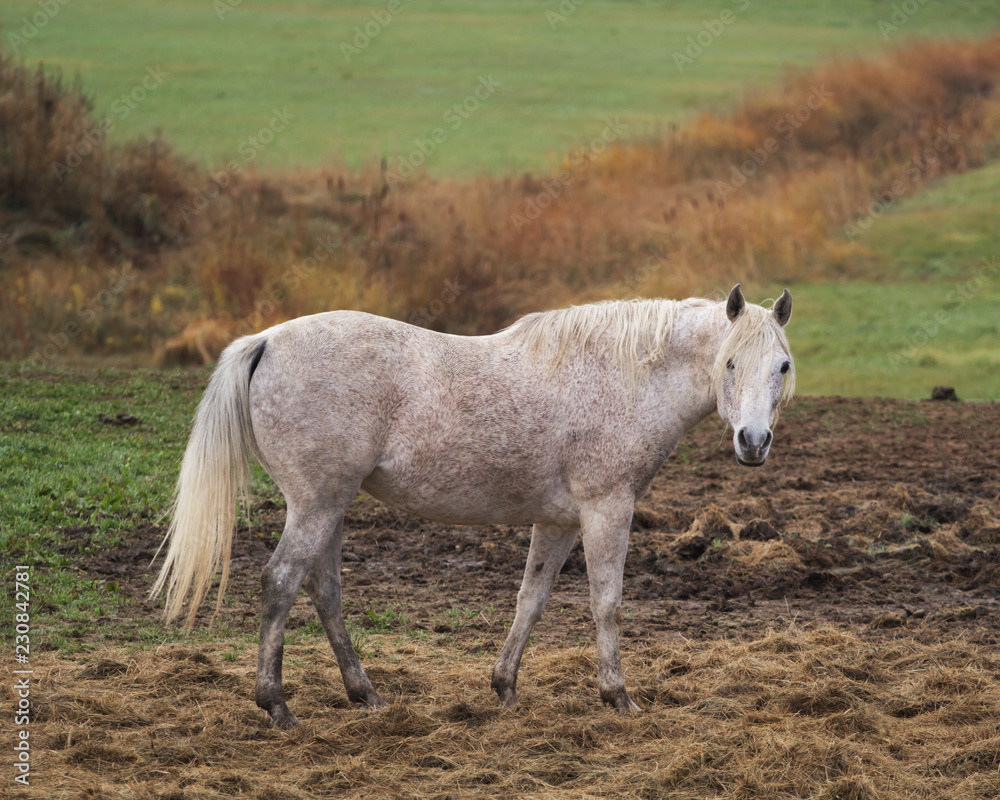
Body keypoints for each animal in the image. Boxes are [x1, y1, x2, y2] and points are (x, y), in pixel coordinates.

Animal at [154, 284, 796, 728]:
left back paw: (366, 695)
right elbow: (607, 604)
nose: (753, 442)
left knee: (324, 591)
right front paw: (618, 696)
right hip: (315, 505)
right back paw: (278, 706)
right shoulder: (606, 509)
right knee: (281, 582)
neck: (626, 376)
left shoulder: (558, 521)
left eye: (782, 366)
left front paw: (505, 687)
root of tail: (265, 341)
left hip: (329, 509)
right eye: (730, 363)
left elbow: (531, 599)